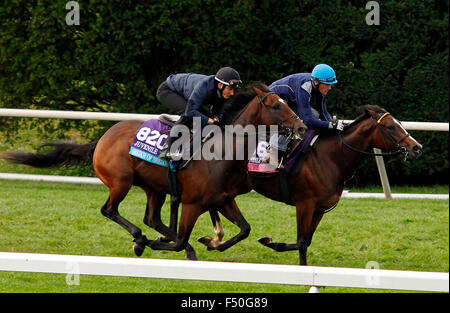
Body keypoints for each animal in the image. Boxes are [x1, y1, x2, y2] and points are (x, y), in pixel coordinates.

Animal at [1, 84, 306, 260]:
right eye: (276, 105)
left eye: (288, 103)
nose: (302, 127)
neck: (223, 152)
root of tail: (102, 138)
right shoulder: (193, 203)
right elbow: (181, 238)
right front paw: (170, 244)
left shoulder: (222, 199)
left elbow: (244, 229)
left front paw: (211, 242)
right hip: (121, 182)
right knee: (110, 210)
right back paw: (140, 239)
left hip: (154, 188)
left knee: (152, 218)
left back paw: (153, 238)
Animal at [196, 104, 422, 264]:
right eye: (390, 126)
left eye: (400, 123)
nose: (416, 147)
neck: (332, 158)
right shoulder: (305, 204)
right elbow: (302, 242)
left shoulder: (320, 208)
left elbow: (306, 240)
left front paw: (272, 242)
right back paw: (214, 239)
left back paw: (214, 238)